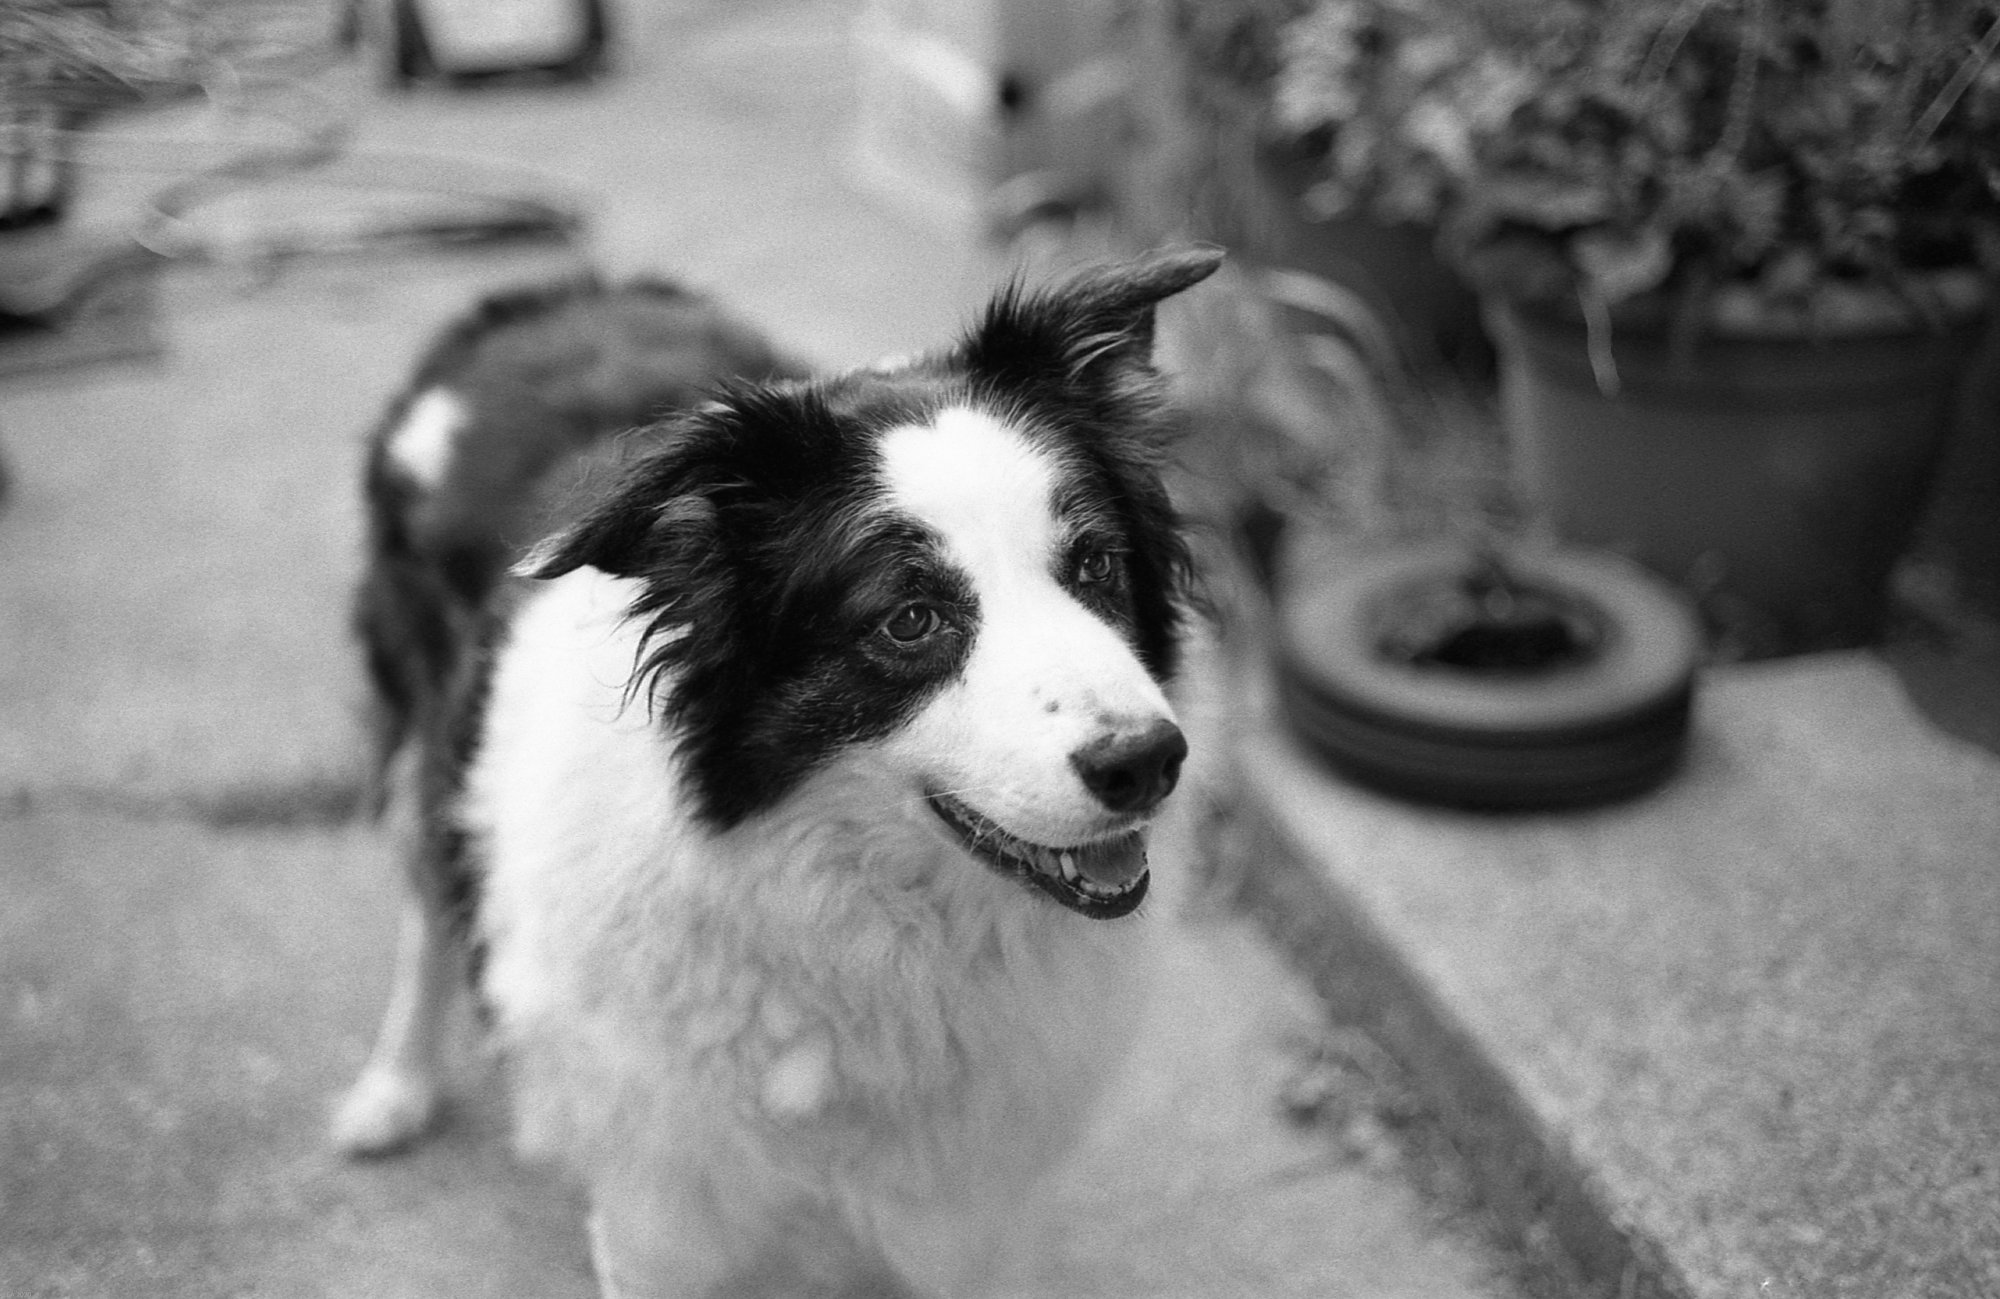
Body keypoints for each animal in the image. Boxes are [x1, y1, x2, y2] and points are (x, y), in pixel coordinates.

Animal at [331, 247, 1224, 1298]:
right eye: (909, 619)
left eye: (1096, 564)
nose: (1149, 761)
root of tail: (558, 291)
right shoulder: (658, 1219)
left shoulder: (975, 1223)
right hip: (417, 738)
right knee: (427, 913)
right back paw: (393, 1089)